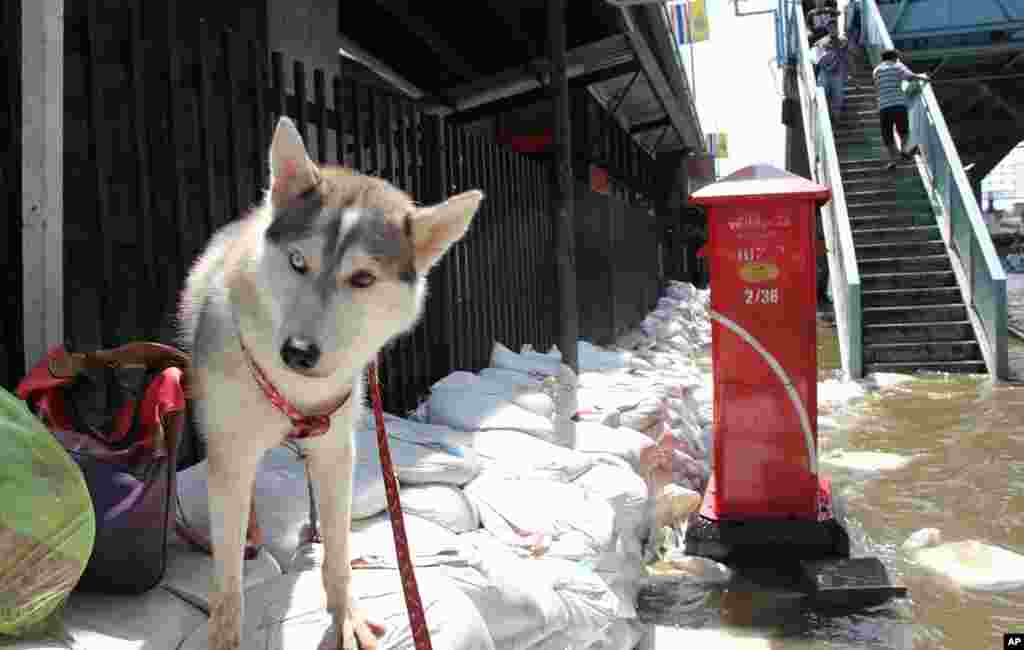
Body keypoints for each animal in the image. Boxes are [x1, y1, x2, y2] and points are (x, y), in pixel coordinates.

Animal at [180, 117, 483, 650]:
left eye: (362, 279)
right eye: (299, 261)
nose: (297, 352)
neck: (293, 388)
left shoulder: (337, 451)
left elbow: (340, 554)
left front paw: (345, 617)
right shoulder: (232, 455)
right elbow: (229, 574)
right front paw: (226, 631)